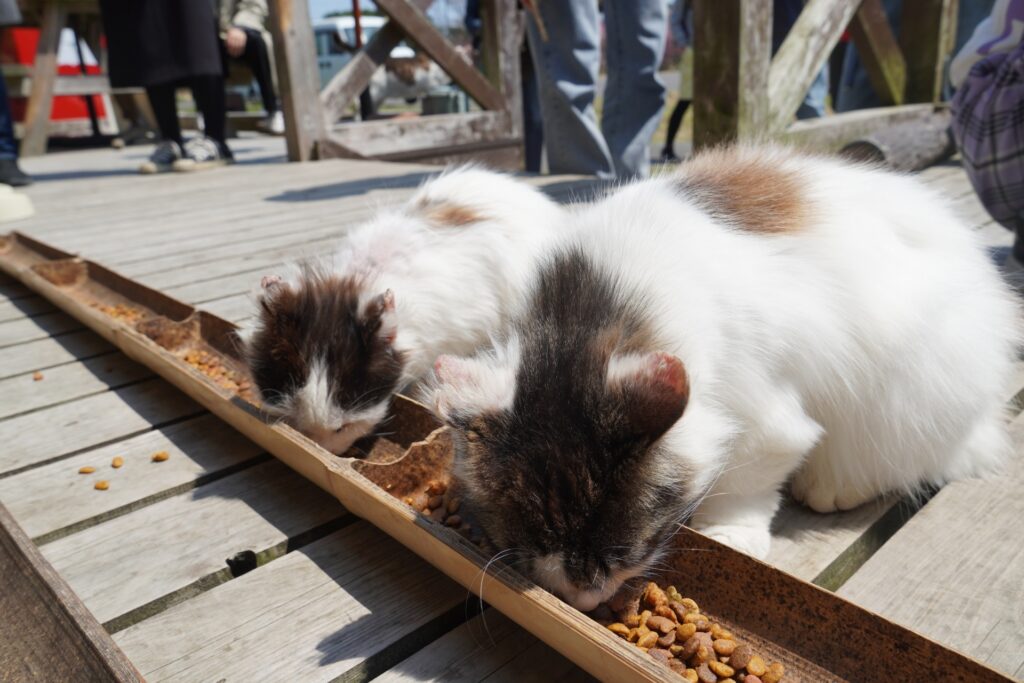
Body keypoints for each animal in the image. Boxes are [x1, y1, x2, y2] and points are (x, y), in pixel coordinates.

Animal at [428, 145, 1019, 614]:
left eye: (624, 554)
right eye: (531, 552)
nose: (584, 597)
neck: (587, 317)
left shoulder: (764, 416)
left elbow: (747, 480)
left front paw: (733, 533)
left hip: (905, 396)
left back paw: (833, 486)